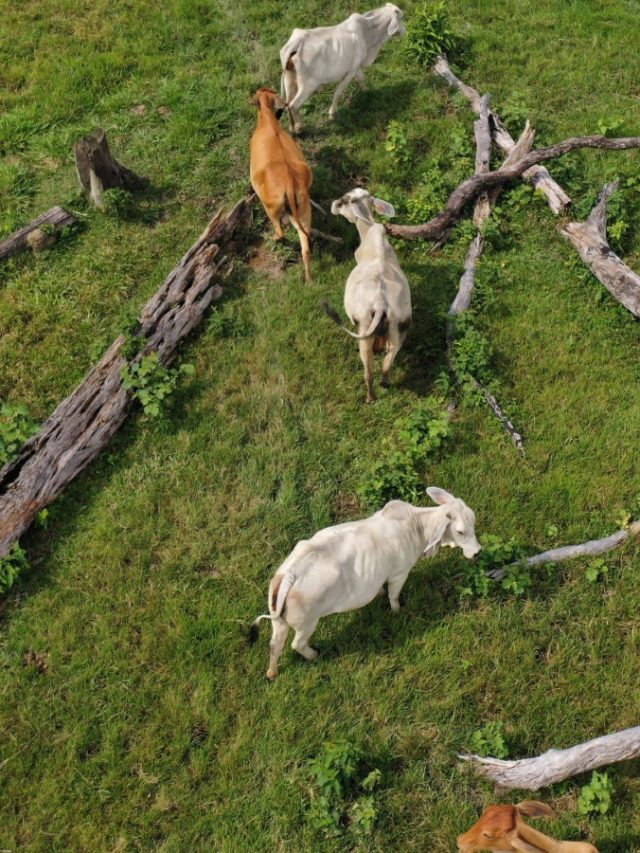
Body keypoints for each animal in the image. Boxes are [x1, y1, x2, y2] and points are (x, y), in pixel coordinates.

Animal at [249, 86, 313, 283]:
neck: (268, 122)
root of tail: (289, 184)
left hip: (271, 208)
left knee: (280, 231)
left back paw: (275, 238)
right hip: (304, 213)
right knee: (305, 247)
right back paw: (309, 280)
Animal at [249, 487, 480, 680]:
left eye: (474, 521)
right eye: (460, 531)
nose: (477, 552)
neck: (418, 526)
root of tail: (290, 574)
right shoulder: (399, 574)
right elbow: (393, 596)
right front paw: (397, 611)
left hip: (279, 620)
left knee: (275, 645)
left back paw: (272, 673)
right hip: (307, 623)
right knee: (297, 644)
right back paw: (314, 655)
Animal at [280, 4, 406, 132]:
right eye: (401, 18)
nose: (404, 32)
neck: (368, 31)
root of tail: (296, 44)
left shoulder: (356, 66)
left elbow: (361, 78)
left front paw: (367, 90)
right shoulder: (350, 71)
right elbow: (338, 92)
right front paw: (332, 114)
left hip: (289, 78)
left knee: (287, 102)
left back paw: (292, 127)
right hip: (308, 86)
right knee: (293, 105)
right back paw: (299, 127)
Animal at [322, 187, 411, 402]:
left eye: (344, 201)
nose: (333, 206)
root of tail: (380, 304)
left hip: (363, 329)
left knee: (368, 370)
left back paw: (370, 398)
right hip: (398, 328)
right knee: (388, 362)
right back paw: (385, 383)